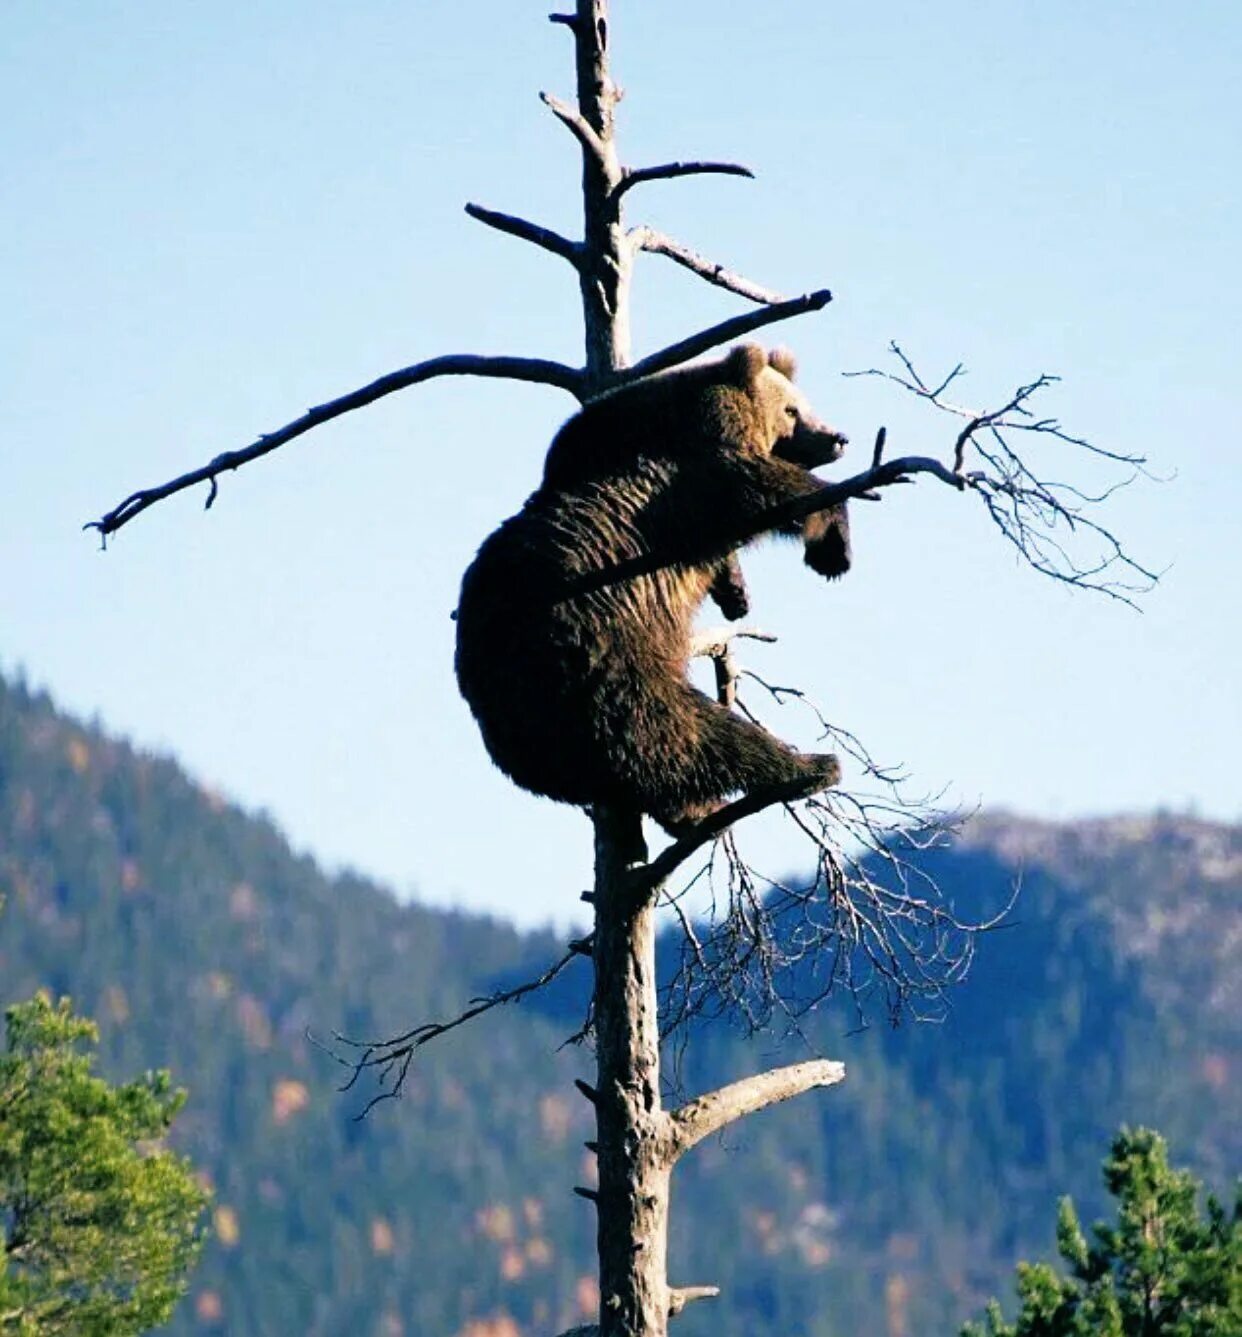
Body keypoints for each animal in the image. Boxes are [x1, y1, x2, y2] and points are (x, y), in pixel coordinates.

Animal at [454, 339, 855, 828]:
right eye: (792, 409)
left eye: (805, 403)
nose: (837, 437)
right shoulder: (692, 480)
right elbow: (760, 485)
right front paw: (832, 548)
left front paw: (737, 593)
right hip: (612, 658)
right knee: (695, 732)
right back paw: (808, 766)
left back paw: (695, 811)